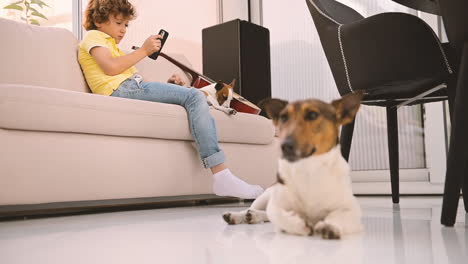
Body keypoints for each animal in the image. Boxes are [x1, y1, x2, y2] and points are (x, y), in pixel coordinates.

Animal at [221, 91, 364, 239]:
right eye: (283, 117)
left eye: (313, 115)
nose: (284, 145)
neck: (309, 168)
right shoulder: (277, 204)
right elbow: (278, 214)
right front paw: (299, 224)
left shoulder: (351, 210)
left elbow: (340, 216)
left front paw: (329, 226)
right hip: (265, 195)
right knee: (253, 208)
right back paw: (238, 215)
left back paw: (254, 216)